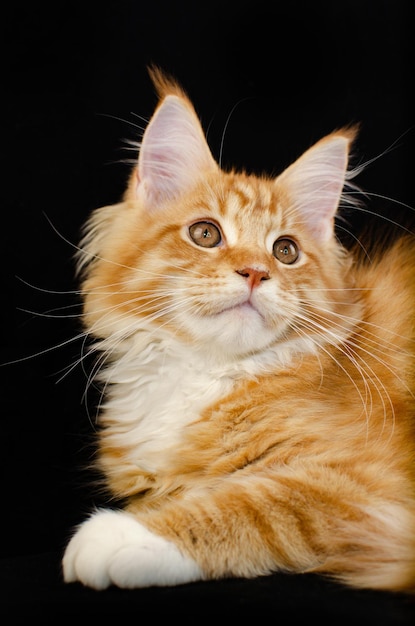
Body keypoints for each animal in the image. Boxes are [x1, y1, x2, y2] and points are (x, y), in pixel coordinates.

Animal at [61, 67, 415, 588]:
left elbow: (258, 502)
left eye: (285, 250)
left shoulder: (368, 489)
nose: (254, 272)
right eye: (205, 234)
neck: (206, 372)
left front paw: (125, 535)